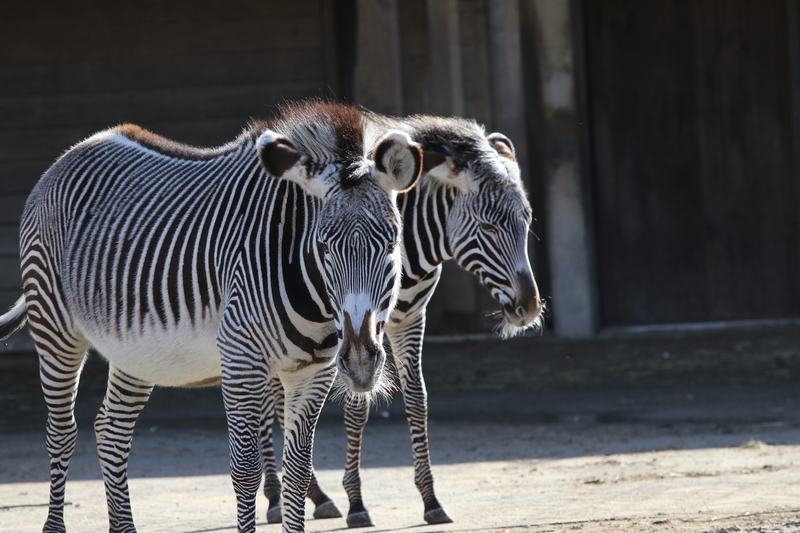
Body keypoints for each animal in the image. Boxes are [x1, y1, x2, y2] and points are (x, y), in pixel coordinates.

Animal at [0, 101, 423, 533]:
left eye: (392, 243)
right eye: (323, 246)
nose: (360, 362)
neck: (317, 302)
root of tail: (75, 150)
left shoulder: (313, 372)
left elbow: (298, 470)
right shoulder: (242, 361)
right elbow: (246, 470)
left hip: (135, 352)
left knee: (111, 429)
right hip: (54, 327)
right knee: (61, 432)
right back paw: (54, 523)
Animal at [262, 113, 543, 527]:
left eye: (526, 221)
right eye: (489, 227)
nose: (530, 308)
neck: (412, 244)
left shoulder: (410, 318)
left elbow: (417, 398)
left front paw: (430, 499)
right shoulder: (358, 331)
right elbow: (358, 406)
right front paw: (357, 503)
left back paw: (309, 495)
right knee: (271, 400)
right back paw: (277, 497)